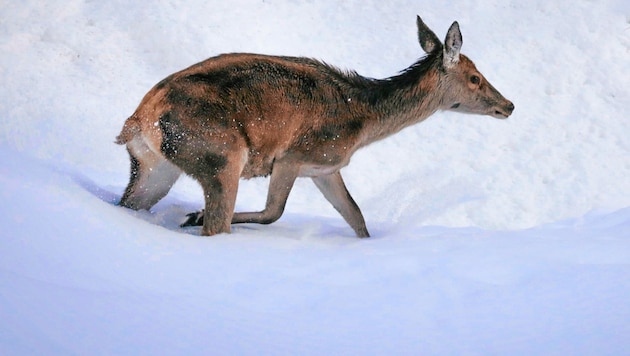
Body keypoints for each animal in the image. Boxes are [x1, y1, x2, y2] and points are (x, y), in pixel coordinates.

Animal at [116, 17, 516, 239]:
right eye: (475, 78)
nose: (509, 105)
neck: (363, 126)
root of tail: (139, 120)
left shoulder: (325, 168)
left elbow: (357, 217)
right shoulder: (294, 155)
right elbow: (274, 212)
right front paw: (192, 214)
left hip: (154, 167)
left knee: (129, 202)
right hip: (220, 154)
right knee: (219, 221)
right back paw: (200, 218)